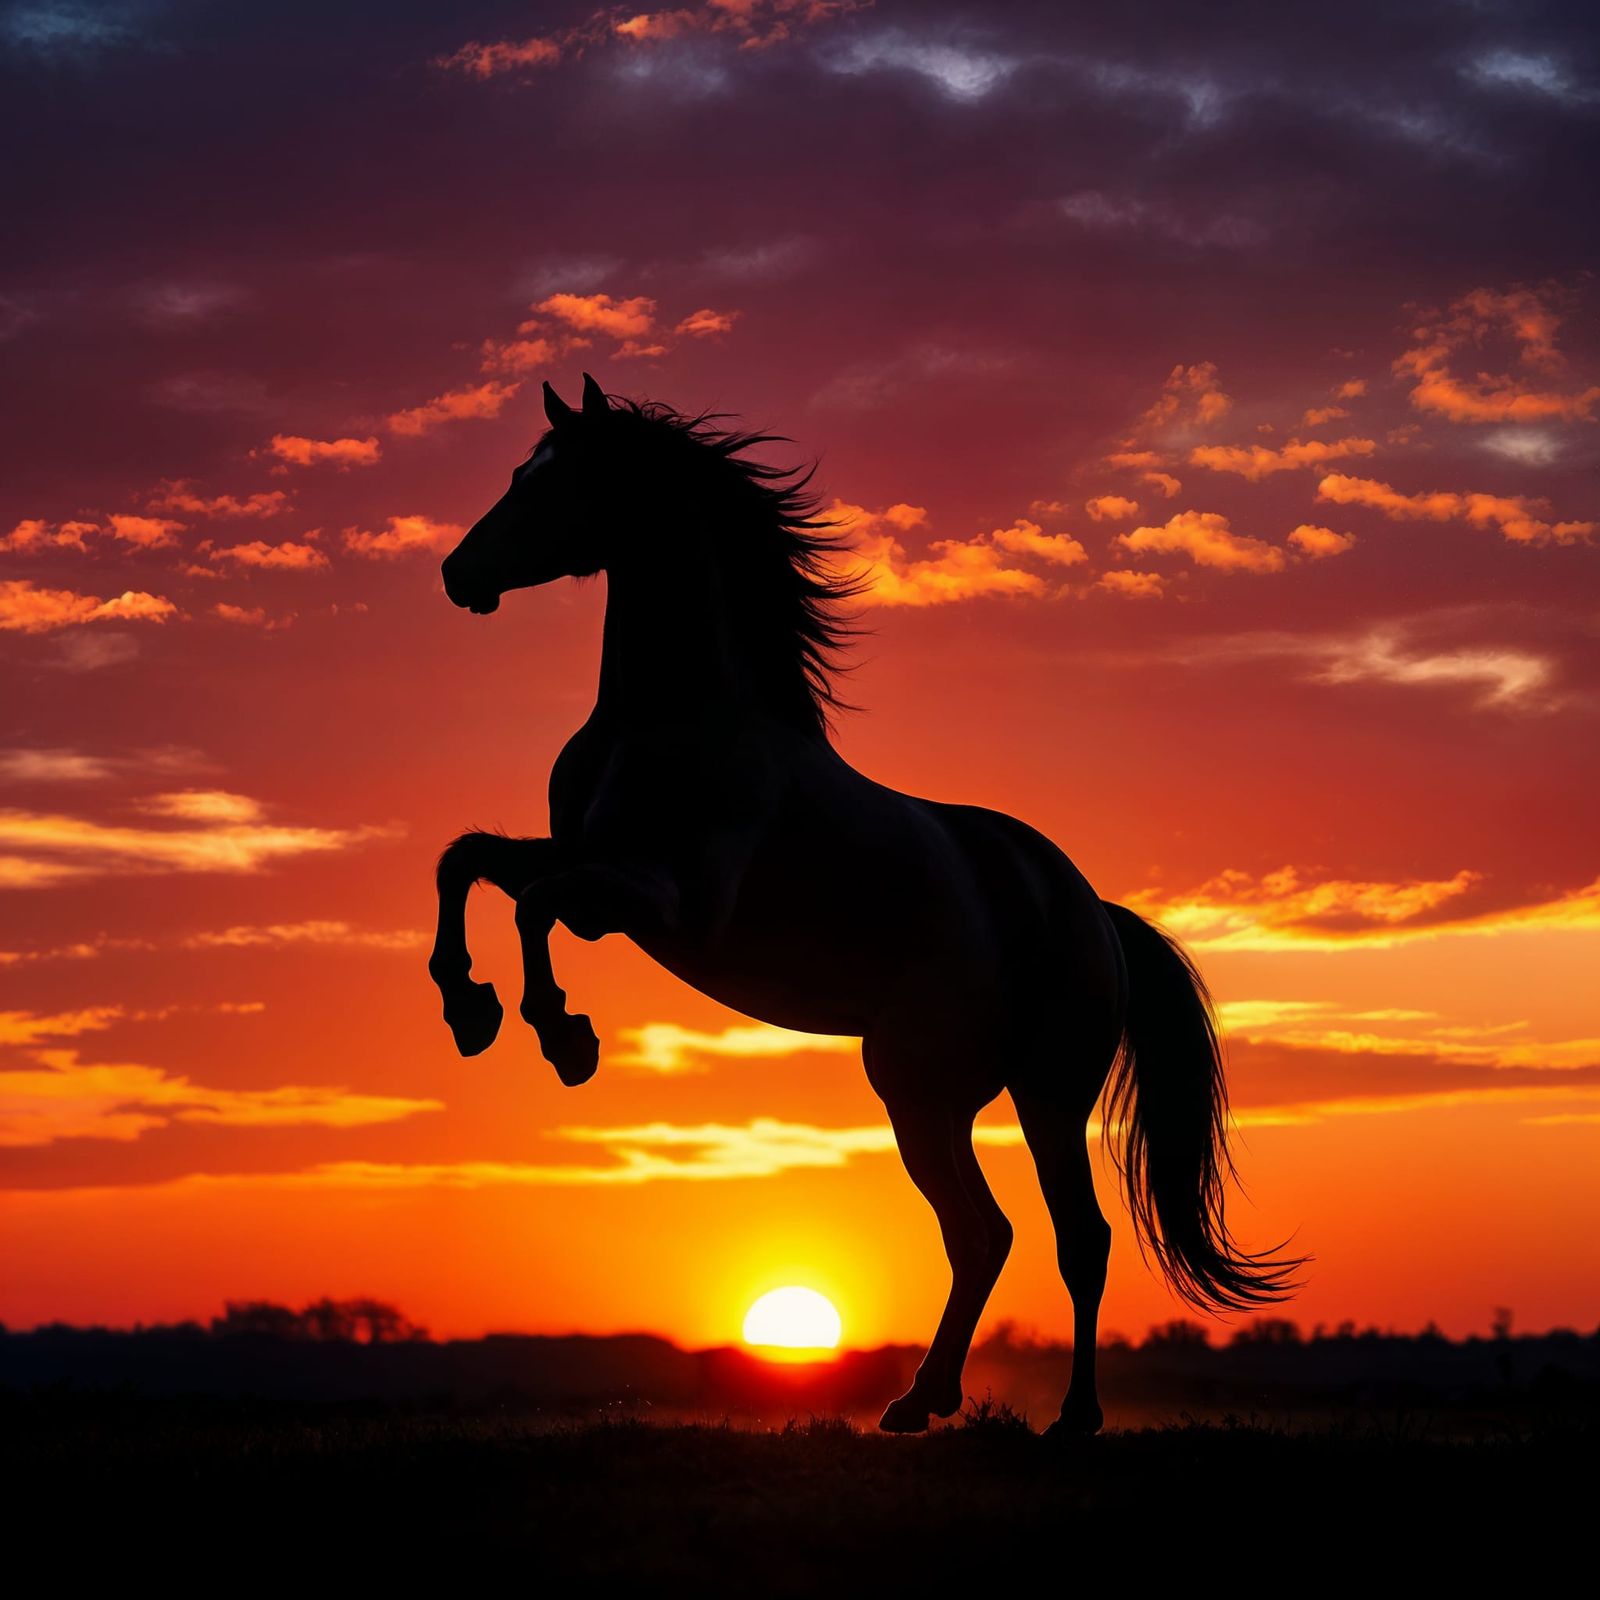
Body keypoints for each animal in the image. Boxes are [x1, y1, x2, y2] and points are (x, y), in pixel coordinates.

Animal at [428, 373, 1300, 1436]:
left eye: (559, 479)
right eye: (524, 469)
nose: (458, 573)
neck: (671, 724)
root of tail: (1092, 913)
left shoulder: (666, 905)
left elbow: (534, 904)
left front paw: (563, 1037)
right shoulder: (591, 869)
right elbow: (469, 863)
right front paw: (469, 1010)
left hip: (1019, 1092)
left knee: (1065, 1236)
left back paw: (1064, 1415)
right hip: (940, 1091)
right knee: (990, 1235)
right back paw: (925, 1401)